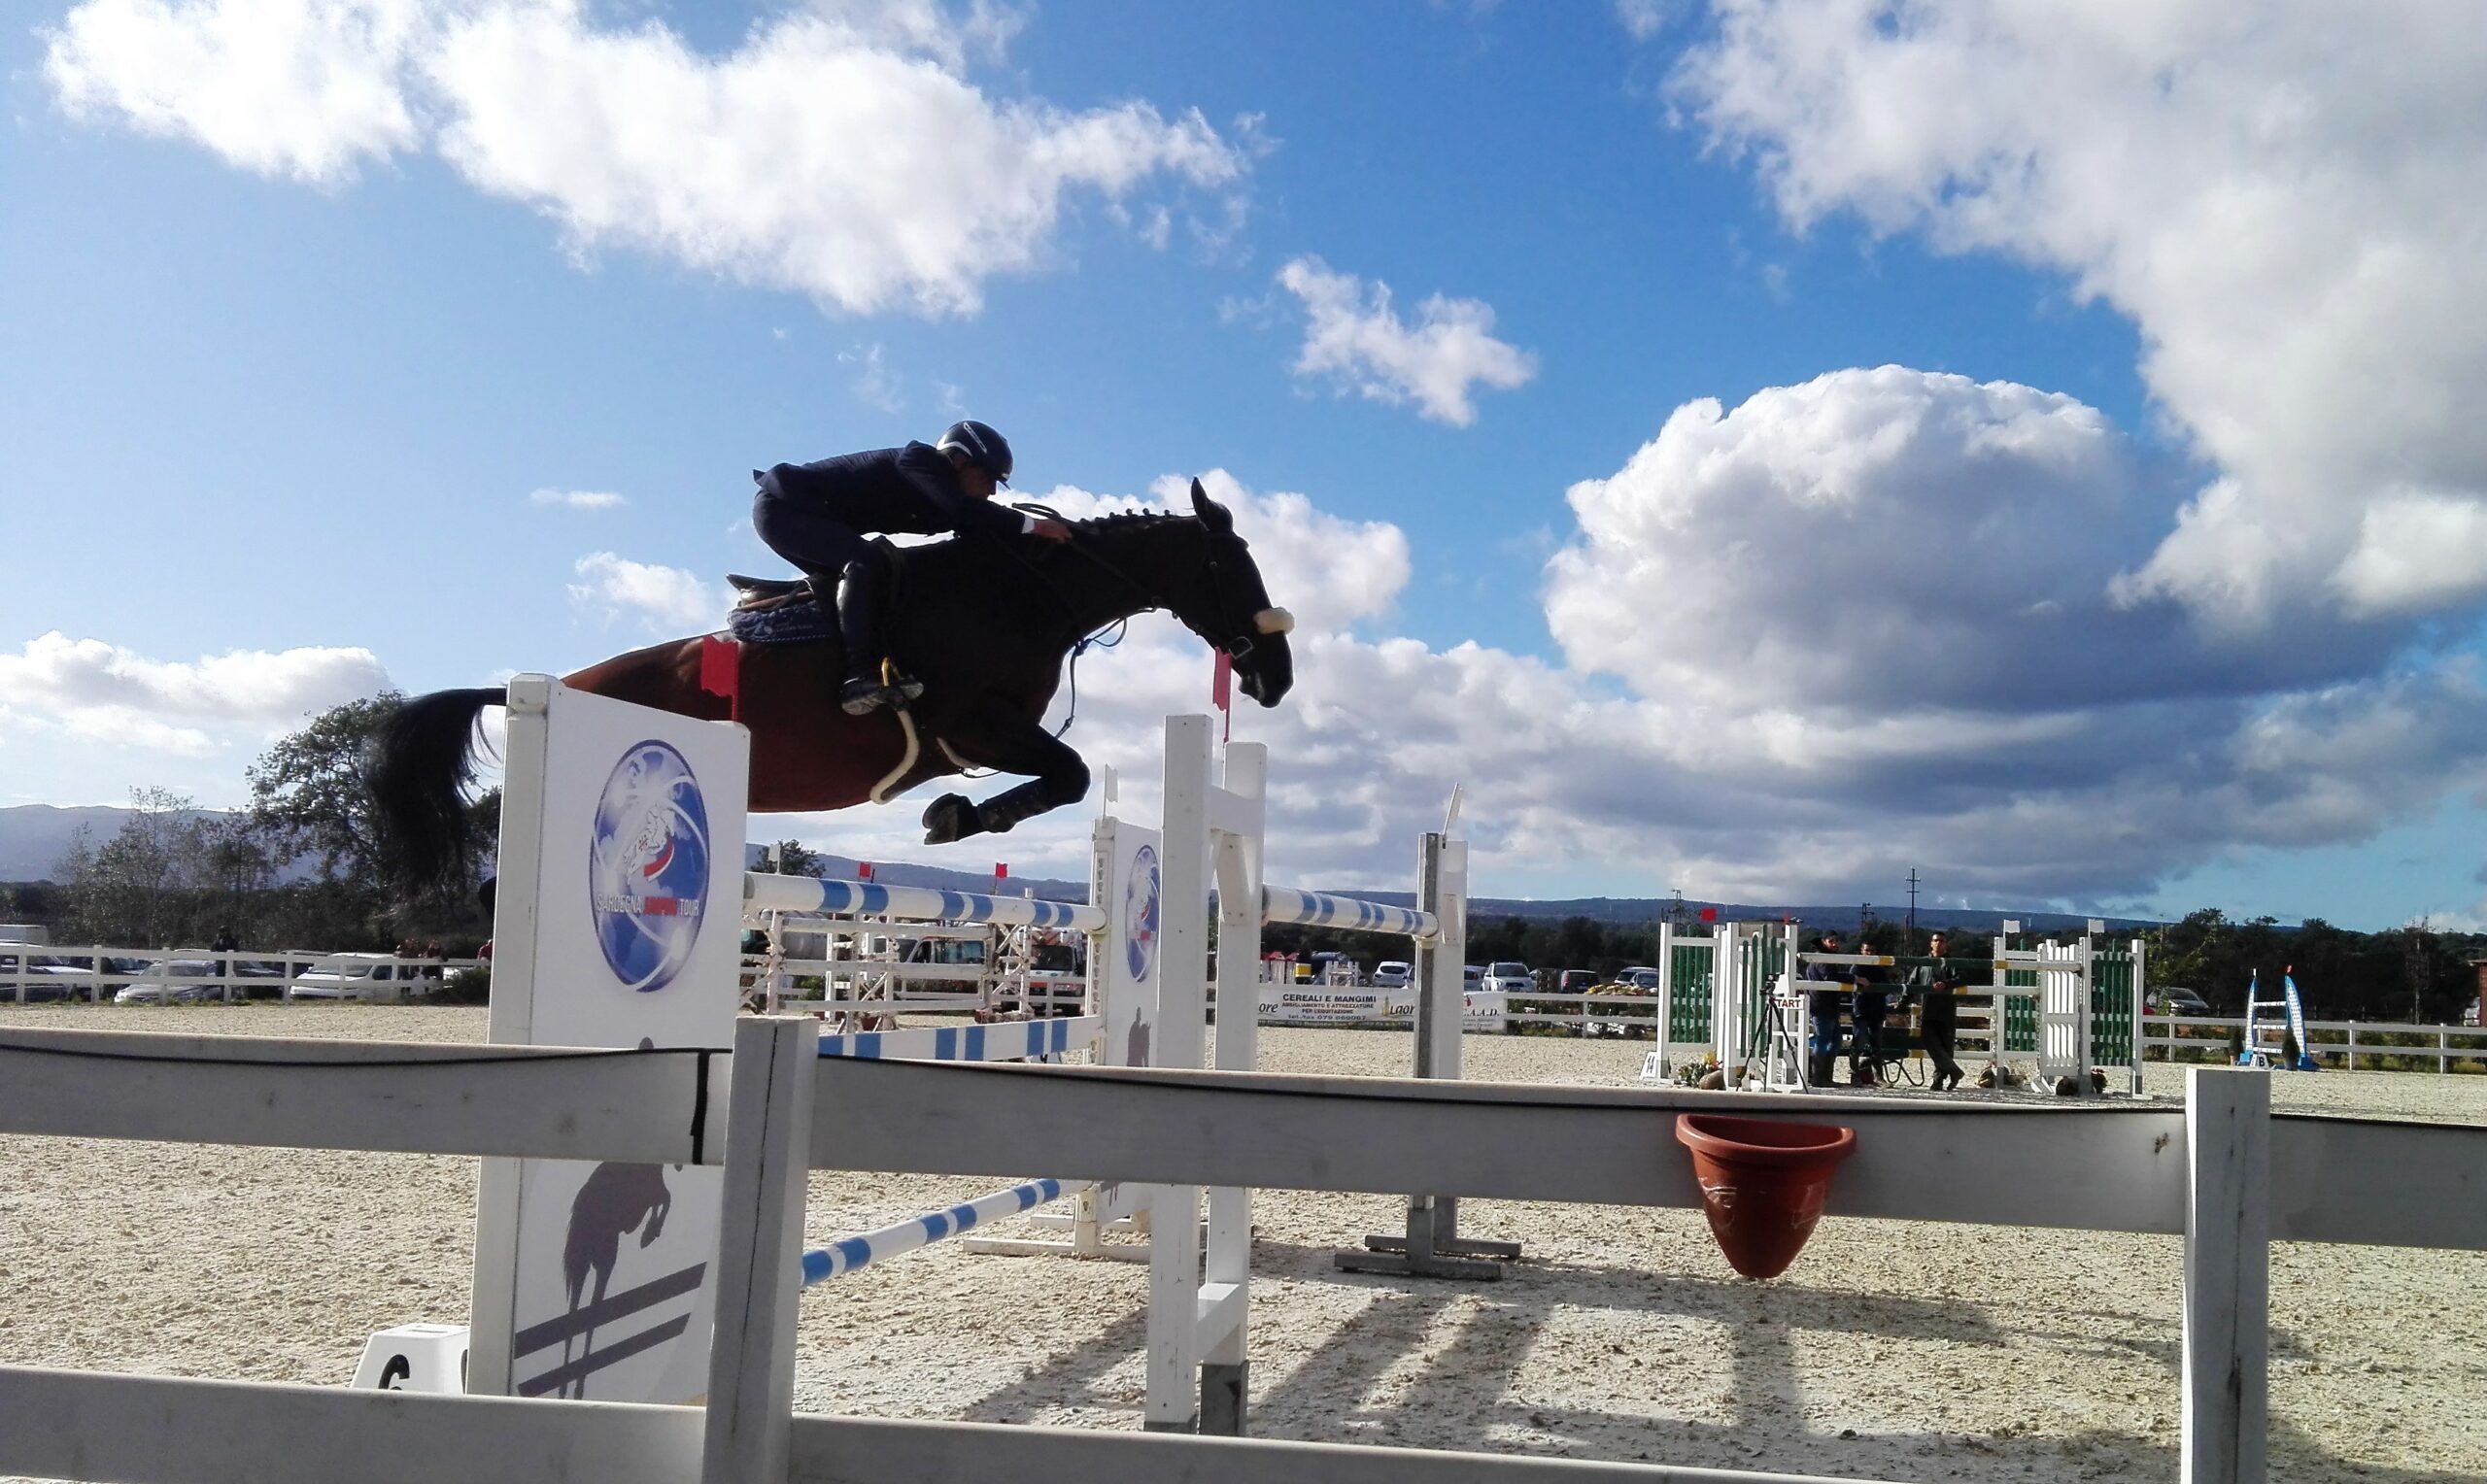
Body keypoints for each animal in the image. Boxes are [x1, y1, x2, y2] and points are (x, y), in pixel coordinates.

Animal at [370, 480, 1294, 892]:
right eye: (1236, 565)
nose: (1275, 677)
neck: (1023, 594)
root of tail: (547, 685)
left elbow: (1061, 778)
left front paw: (952, 815)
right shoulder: (974, 724)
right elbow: (1063, 775)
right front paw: (954, 817)